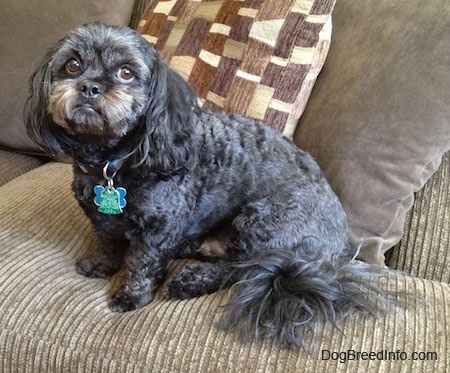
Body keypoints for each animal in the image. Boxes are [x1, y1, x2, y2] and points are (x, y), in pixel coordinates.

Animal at [24, 22, 394, 346]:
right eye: (72, 65)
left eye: (126, 73)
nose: (89, 87)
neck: (113, 161)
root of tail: (337, 251)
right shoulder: (102, 219)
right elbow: (108, 241)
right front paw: (102, 264)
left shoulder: (160, 225)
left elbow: (142, 261)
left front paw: (131, 294)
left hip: (265, 220)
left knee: (246, 269)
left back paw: (191, 280)